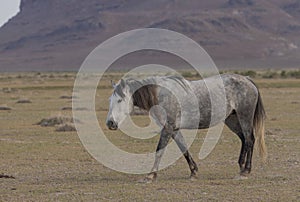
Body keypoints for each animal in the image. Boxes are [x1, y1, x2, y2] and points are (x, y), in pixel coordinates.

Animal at [106, 74, 266, 181]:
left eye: (120, 100)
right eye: (110, 100)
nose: (110, 123)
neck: (160, 95)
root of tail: (247, 80)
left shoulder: (167, 128)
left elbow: (159, 150)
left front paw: (151, 175)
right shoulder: (174, 130)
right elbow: (183, 149)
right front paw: (193, 171)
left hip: (244, 117)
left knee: (250, 139)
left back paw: (245, 171)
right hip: (232, 119)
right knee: (244, 139)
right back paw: (241, 166)